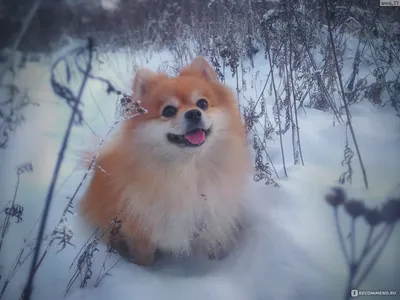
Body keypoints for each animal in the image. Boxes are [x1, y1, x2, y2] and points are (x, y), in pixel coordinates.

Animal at [79, 55, 252, 264]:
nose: (194, 113)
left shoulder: (211, 217)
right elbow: (144, 257)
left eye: (202, 104)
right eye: (169, 111)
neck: (188, 169)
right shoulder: (141, 229)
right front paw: (144, 269)